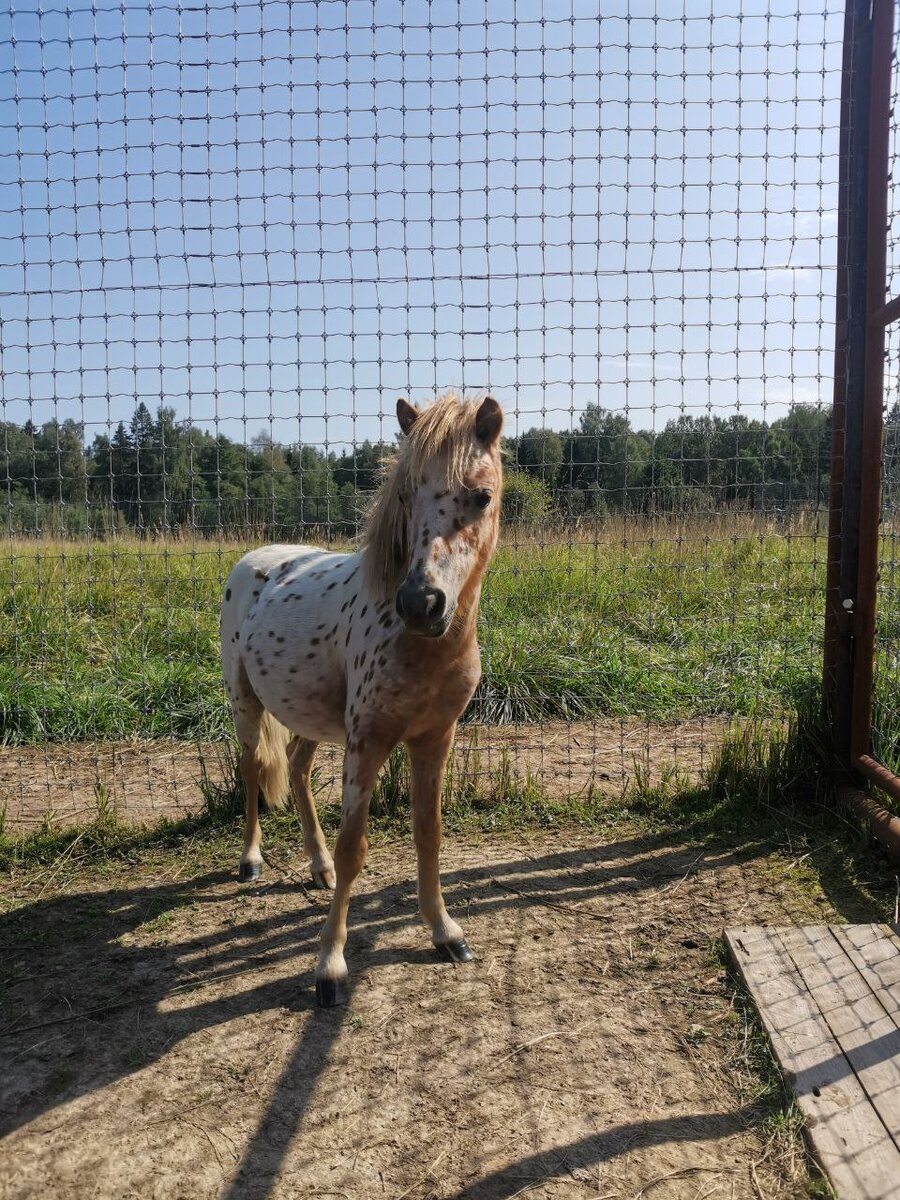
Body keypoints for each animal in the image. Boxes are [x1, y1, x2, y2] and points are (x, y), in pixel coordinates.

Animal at [217, 391, 501, 1003]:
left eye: (482, 495)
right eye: (405, 493)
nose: (421, 603)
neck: (419, 646)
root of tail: (254, 559)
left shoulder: (433, 740)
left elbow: (429, 833)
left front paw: (445, 932)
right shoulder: (367, 742)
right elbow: (356, 849)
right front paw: (329, 964)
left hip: (311, 721)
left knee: (296, 769)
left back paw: (316, 865)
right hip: (246, 703)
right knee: (253, 770)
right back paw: (251, 860)